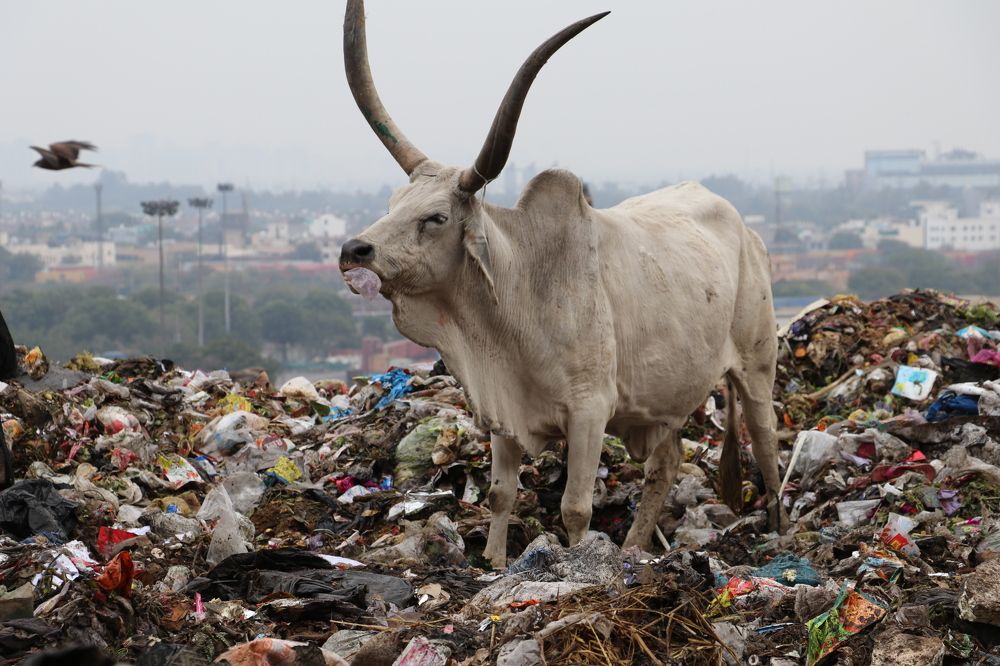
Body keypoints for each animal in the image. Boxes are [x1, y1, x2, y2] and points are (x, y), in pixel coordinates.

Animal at [338, 1, 786, 569]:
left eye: (436, 218)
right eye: (393, 203)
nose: (354, 250)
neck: (520, 294)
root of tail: (747, 230)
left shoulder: (589, 412)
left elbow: (575, 508)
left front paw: (575, 568)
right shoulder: (504, 412)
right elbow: (500, 494)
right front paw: (496, 563)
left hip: (756, 365)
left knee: (768, 445)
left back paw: (778, 531)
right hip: (664, 397)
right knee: (666, 463)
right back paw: (635, 547)